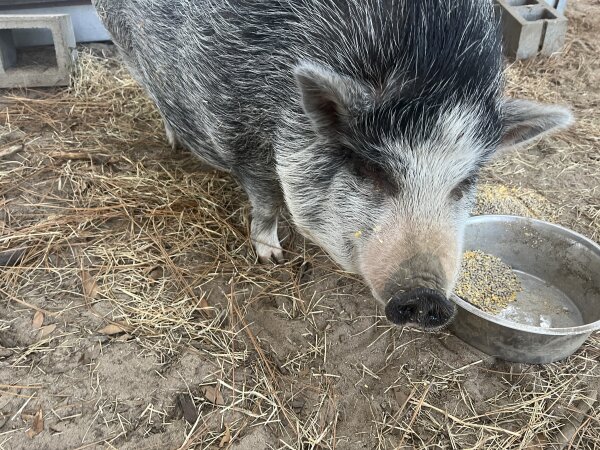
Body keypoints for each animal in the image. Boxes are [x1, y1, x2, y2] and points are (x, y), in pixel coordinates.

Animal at [93, 0, 572, 330]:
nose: (427, 296)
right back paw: (173, 140)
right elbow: (266, 199)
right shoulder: (240, 132)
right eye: (372, 170)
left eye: (464, 182)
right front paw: (272, 256)